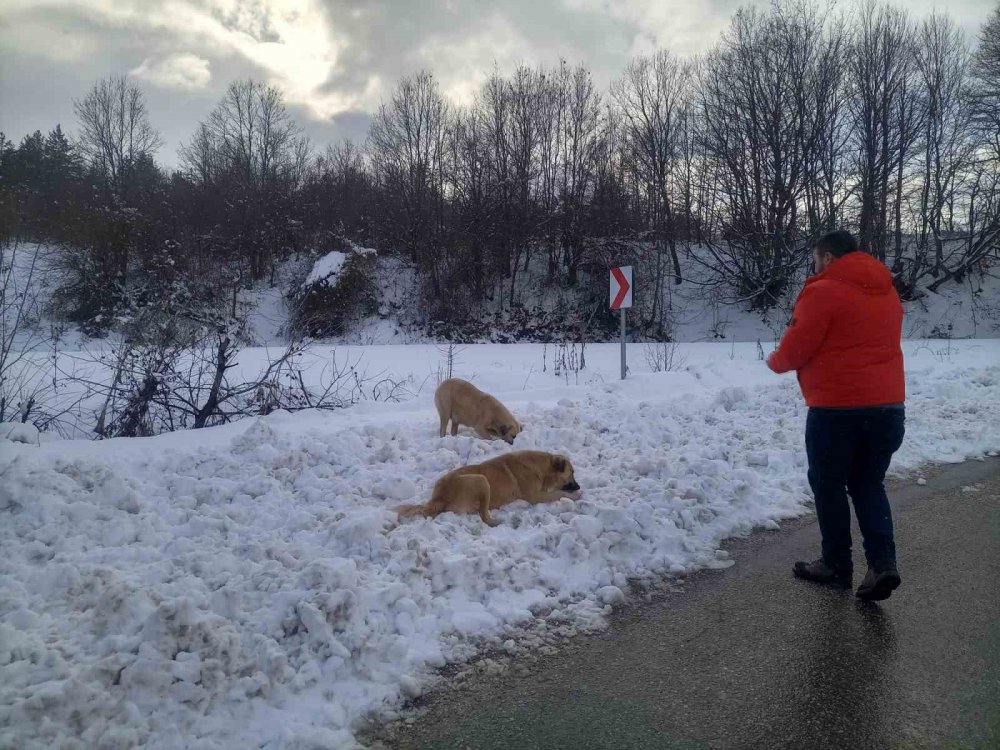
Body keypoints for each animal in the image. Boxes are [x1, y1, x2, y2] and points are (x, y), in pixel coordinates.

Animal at [390, 452, 580, 528]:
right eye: (572, 472)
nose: (578, 486)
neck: (540, 468)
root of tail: (439, 497)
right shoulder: (535, 496)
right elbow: (557, 493)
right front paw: (575, 496)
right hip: (481, 480)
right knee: (484, 516)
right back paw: (496, 521)